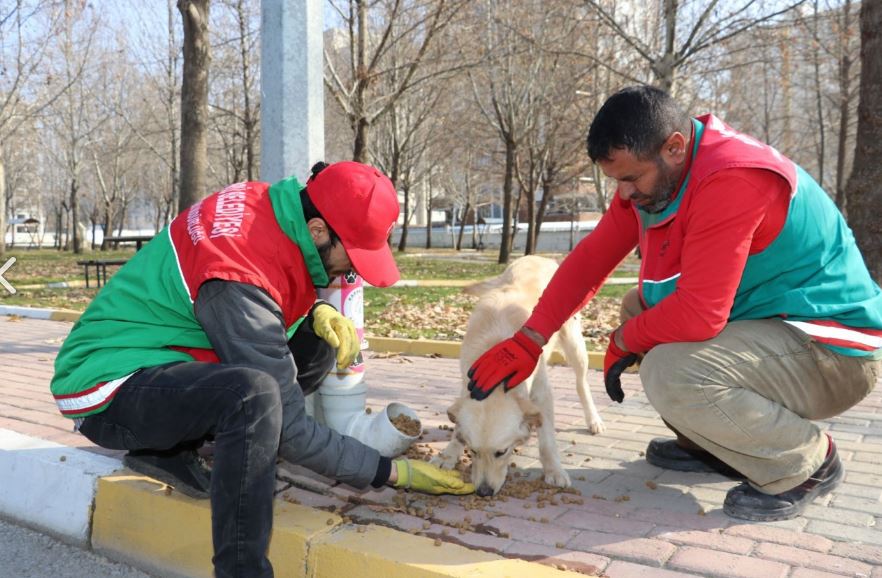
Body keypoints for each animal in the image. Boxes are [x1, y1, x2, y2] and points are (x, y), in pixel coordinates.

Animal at [434, 256, 604, 496]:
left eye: (502, 452)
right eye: (473, 451)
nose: (483, 492)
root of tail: (539, 257)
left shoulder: (542, 394)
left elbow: (547, 441)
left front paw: (554, 470)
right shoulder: (468, 384)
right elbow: (458, 425)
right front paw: (448, 455)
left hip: (575, 343)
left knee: (582, 383)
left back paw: (593, 419)